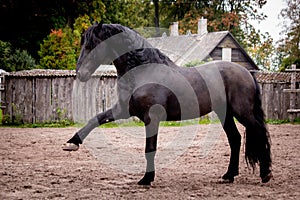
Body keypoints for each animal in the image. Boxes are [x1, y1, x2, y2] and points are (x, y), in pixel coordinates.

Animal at [62, 21, 272, 184]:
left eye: (92, 45)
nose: (79, 73)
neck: (144, 70)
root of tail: (247, 73)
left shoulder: (151, 118)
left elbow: (150, 149)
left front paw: (147, 179)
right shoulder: (123, 110)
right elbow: (96, 118)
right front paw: (72, 142)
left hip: (242, 113)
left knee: (259, 132)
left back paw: (265, 174)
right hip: (225, 114)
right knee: (235, 139)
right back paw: (229, 175)